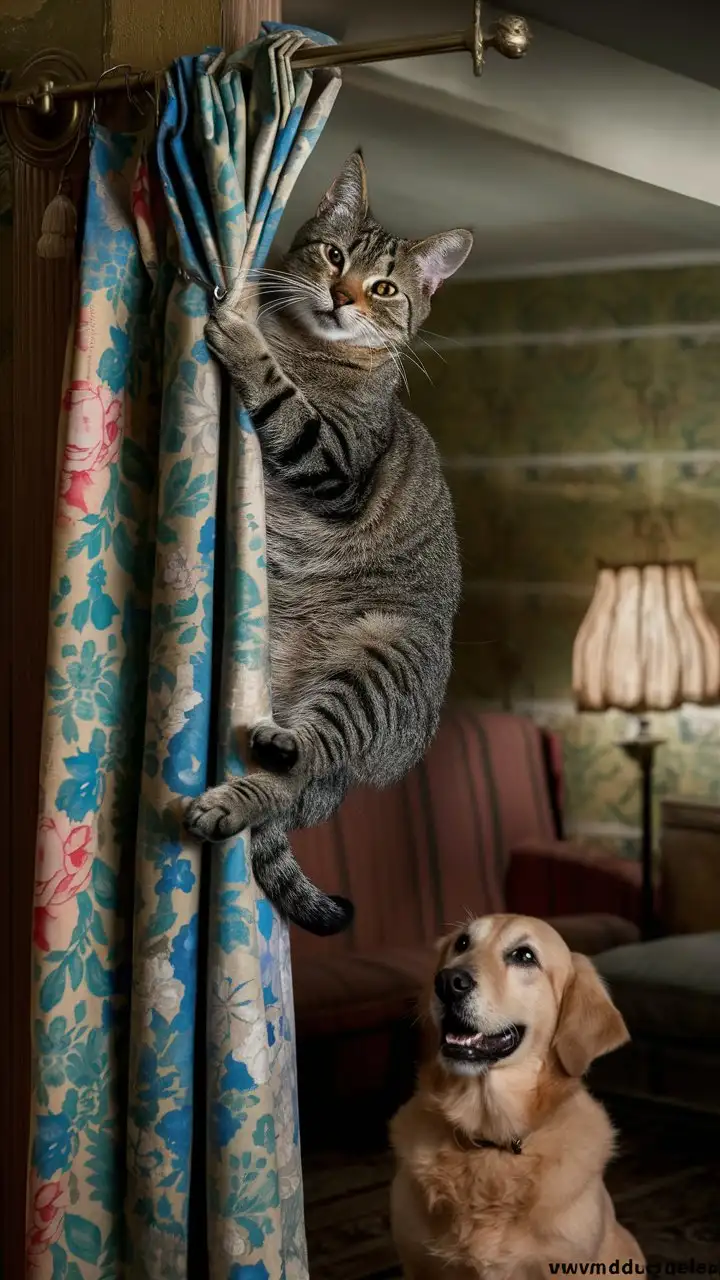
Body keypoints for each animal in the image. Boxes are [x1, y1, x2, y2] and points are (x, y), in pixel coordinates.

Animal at [181, 149, 468, 936]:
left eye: (385, 288)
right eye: (335, 256)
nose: (343, 297)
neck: (307, 345)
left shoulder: (337, 461)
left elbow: (286, 401)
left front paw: (244, 337)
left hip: (380, 659)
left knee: (302, 762)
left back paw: (247, 781)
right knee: (289, 785)